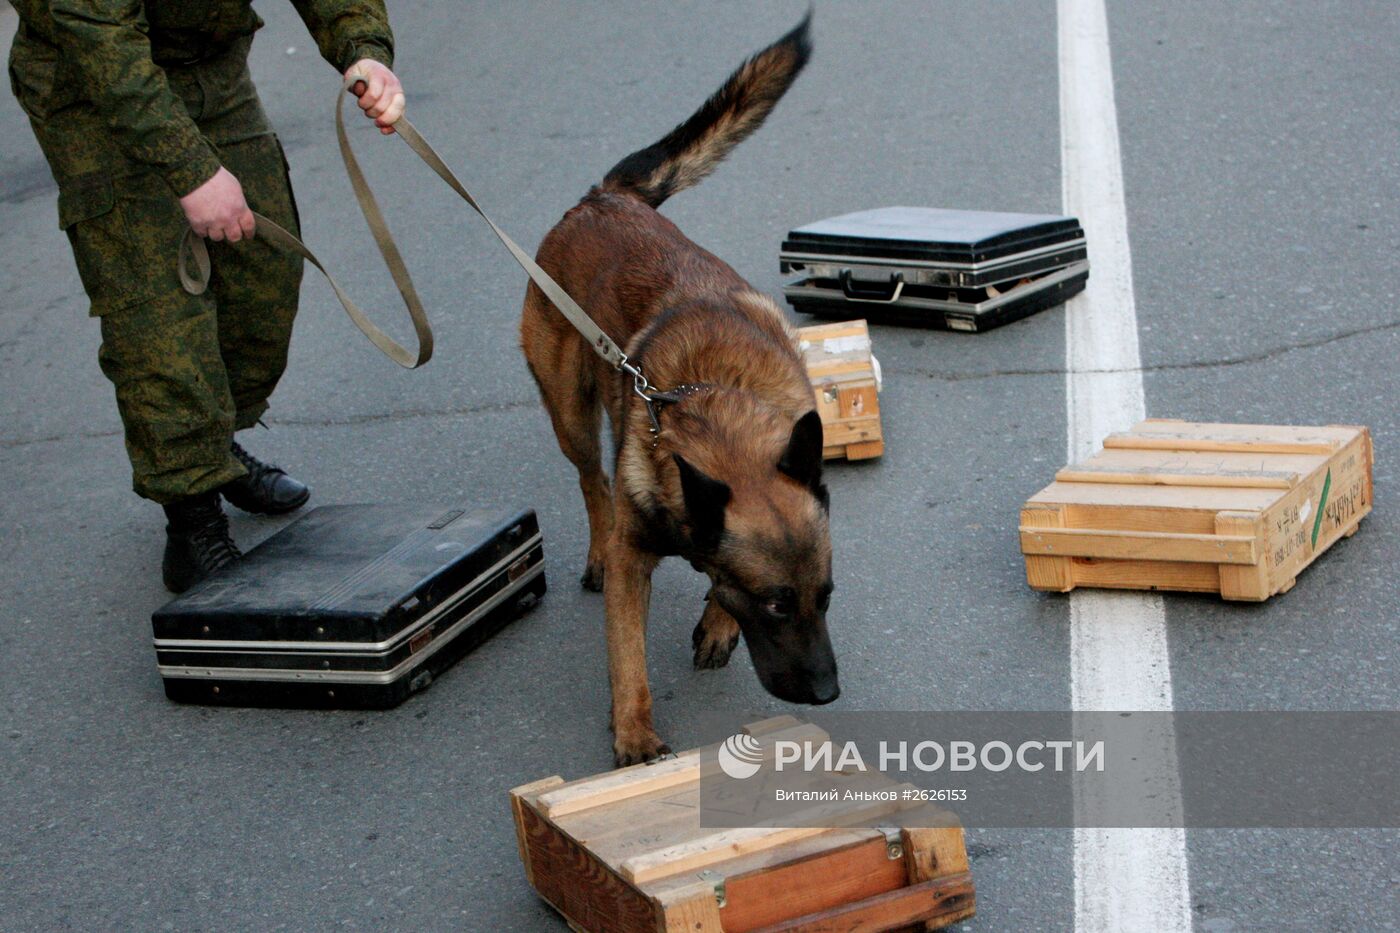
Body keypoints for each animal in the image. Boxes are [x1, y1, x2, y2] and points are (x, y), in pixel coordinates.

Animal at [523, 12, 828, 762]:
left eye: (827, 596)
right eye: (776, 604)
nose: (827, 693)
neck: (717, 397)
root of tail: (604, 198)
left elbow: (715, 581)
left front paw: (717, 621)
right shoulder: (637, 557)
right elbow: (626, 652)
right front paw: (634, 736)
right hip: (568, 412)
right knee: (592, 481)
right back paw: (595, 545)